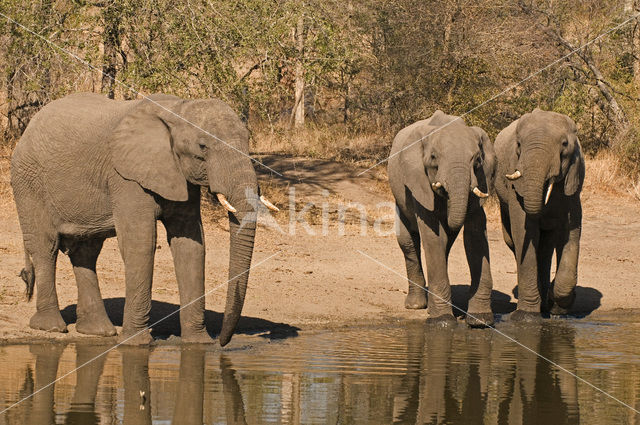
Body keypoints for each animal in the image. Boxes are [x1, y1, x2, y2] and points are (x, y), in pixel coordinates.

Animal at [9, 93, 276, 344]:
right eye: (203, 147)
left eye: (248, 141)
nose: (222, 342)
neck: (177, 109)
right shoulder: (125, 176)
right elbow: (141, 243)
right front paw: (135, 343)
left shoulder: (179, 175)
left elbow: (190, 245)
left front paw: (197, 343)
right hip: (27, 180)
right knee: (46, 247)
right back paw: (51, 327)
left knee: (86, 252)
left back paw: (99, 332)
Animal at [388, 109, 498, 324]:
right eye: (433, 158)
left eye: (477, 160)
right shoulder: (418, 181)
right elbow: (433, 234)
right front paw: (442, 321)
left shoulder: (481, 180)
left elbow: (475, 235)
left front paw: (480, 320)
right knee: (408, 243)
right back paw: (416, 305)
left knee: (447, 244)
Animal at [496, 107, 584, 320]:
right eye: (519, 144)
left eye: (564, 144)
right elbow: (523, 230)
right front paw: (526, 317)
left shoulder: (573, 184)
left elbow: (571, 232)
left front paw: (557, 308)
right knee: (514, 242)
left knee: (545, 247)